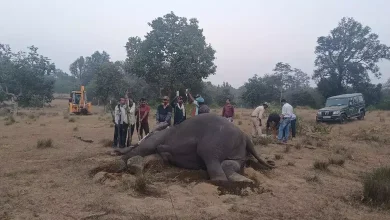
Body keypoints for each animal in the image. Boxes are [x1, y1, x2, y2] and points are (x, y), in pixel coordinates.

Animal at [114, 112, 276, 183]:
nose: (115, 150)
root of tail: (245, 135)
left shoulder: (156, 138)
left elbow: (145, 148)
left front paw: (121, 163)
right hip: (237, 151)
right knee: (229, 164)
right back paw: (245, 181)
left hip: (215, 141)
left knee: (210, 157)